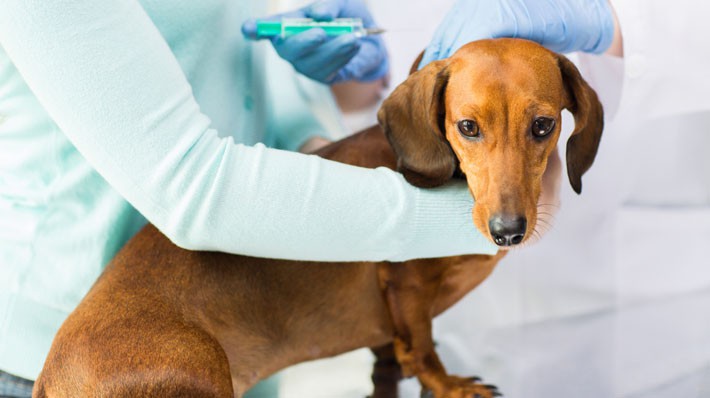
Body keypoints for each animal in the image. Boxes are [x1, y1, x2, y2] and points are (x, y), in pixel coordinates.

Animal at [32, 39, 600, 398]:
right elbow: (422, 349)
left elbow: (396, 354)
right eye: (467, 126)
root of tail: (50, 376)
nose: (508, 232)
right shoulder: (406, 284)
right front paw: (450, 384)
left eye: (544, 125)